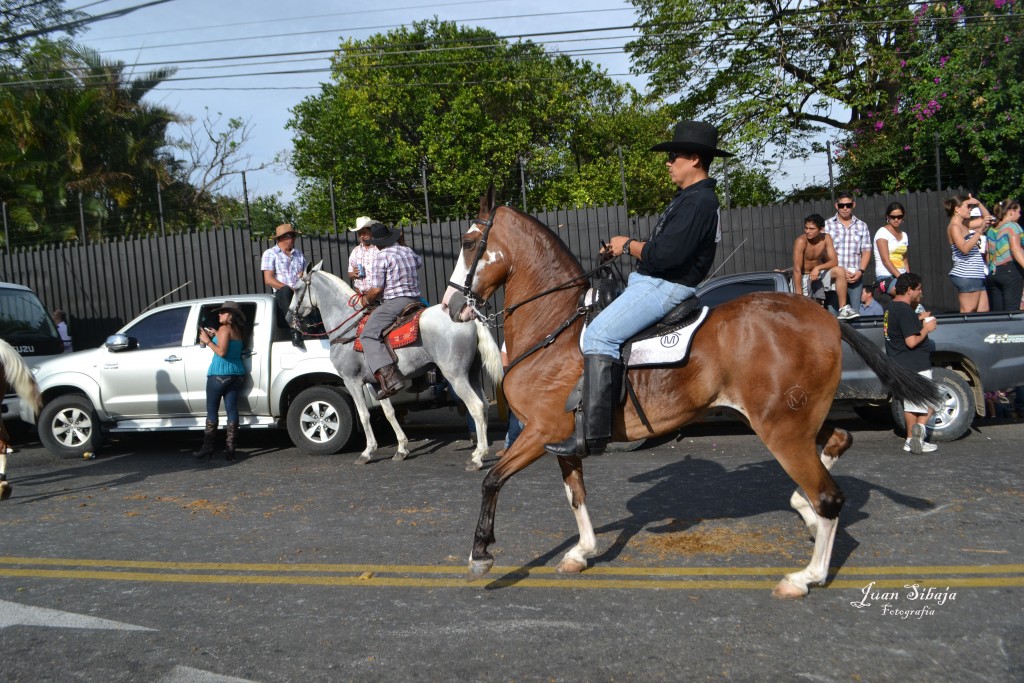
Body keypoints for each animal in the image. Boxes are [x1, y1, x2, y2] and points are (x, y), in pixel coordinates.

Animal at [288, 262, 503, 471]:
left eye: (296, 288)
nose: (290, 318)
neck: (348, 330)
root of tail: (469, 319)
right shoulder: (378, 384)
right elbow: (390, 414)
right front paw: (401, 448)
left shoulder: (352, 381)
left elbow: (364, 415)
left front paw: (367, 452)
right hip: (472, 374)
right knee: (483, 406)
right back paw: (478, 452)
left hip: (456, 376)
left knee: (475, 407)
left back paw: (478, 458)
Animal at [444, 187, 937, 598]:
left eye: (468, 243)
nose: (451, 306)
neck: (555, 327)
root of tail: (826, 318)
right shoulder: (560, 439)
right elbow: (575, 494)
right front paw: (581, 552)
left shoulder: (539, 431)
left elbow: (492, 480)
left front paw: (480, 553)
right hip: (800, 418)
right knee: (837, 443)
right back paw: (806, 513)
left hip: (782, 429)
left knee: (829, 495)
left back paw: (805, 576)